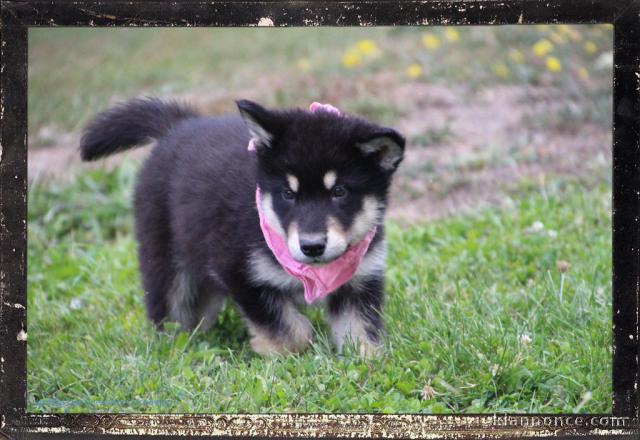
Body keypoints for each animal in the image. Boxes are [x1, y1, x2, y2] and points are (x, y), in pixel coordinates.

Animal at [80, 98, 404, 356]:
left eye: (339, 192)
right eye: (288, 194)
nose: (312, 247)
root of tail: (177, 127)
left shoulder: (360, 279)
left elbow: (360, 331)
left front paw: (369, 362)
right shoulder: (239, 272)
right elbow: (292, 331)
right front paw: (280, 350)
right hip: (168, 261)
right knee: (170, 312)